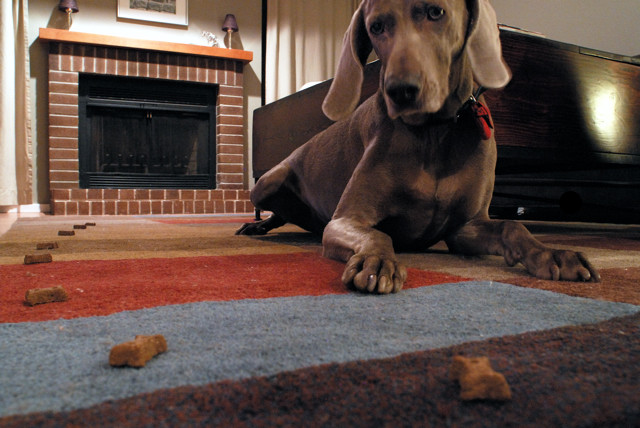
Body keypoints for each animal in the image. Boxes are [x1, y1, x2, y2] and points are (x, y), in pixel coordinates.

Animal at [236, 0, 600, 294]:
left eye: (435, 12)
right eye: (376, 27)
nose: (401, 90)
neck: (433, 132)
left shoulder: (463, 227)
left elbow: (513, 225)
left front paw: (553, 253)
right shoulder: (344, 220)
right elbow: (377, 235)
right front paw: (376, 262)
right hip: (266, 183)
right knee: (278, 209)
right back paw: (257, 225)